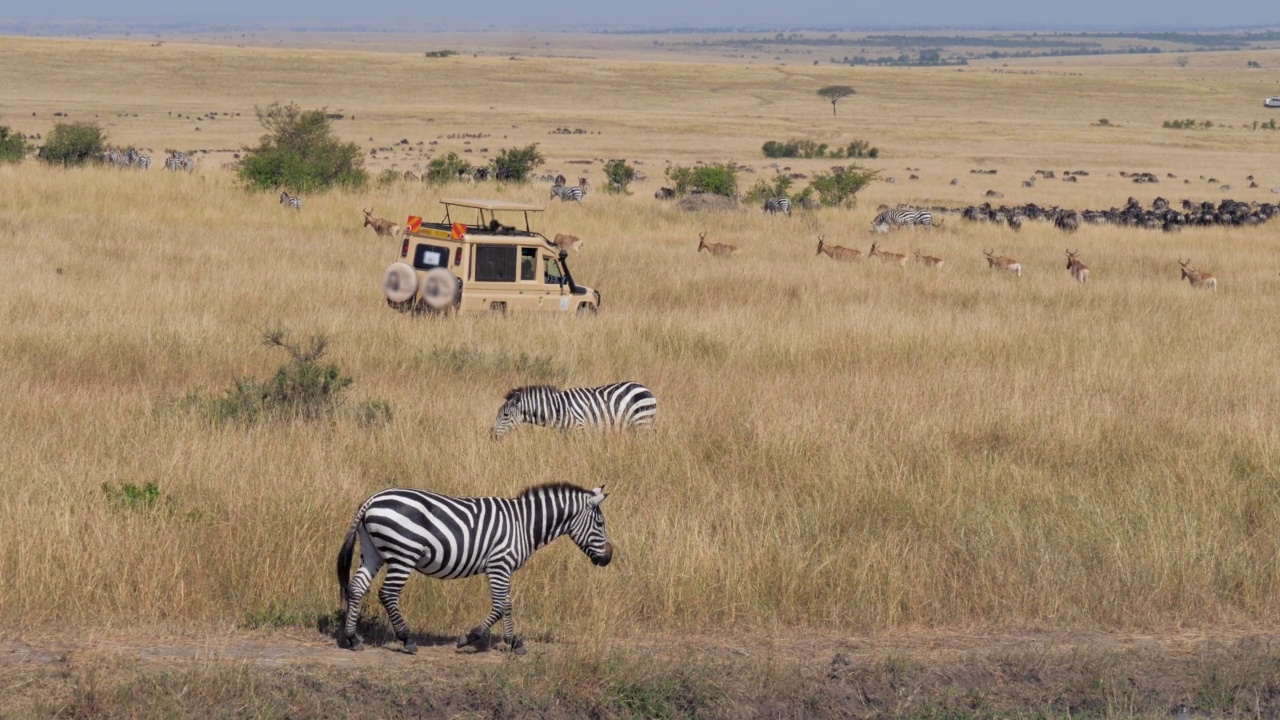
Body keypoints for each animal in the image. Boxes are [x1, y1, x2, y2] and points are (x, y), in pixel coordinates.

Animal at [330, 479, 609, 653]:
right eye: (601, 524)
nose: (608, 558)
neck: (524, 525)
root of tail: (372, 499)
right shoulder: (499, 564)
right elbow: (501, 605)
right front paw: (472, 637)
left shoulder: (502, 568)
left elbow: (507, 604)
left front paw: (513, 641)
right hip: (403, 552)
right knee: (387, 593)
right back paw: (407, 639)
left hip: (373, 551)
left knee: (357, 588)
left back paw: (353, 638)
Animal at [491, 381, 660, 438]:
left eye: (505, 415)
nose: (491, 435)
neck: (558, 409)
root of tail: (646, 389)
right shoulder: (565, 433)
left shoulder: (578, 429)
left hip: (641, 422)